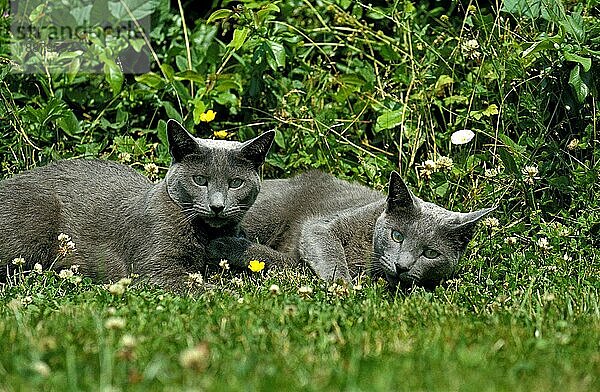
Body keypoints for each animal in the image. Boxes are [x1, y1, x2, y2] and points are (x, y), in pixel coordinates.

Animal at [0, 121, 274, 292]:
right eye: (199, 180)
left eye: (235, 183)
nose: (217, 206)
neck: (207, 234)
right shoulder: (155, 269)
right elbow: (206, 289)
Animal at [209, 171, 494, 288]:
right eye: (397, 236)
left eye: (431, 254)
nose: (402, 266)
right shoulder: (322, 226)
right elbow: (329, 250)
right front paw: (344, 286)